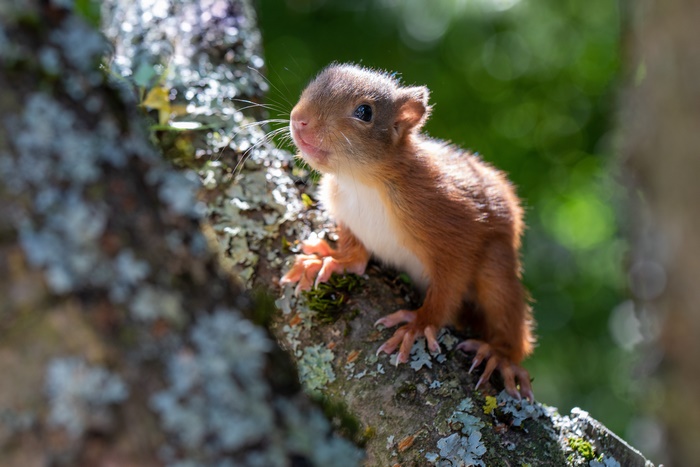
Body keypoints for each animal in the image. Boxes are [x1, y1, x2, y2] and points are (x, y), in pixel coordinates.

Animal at [280, 63, 535, 401]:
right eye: (313, 85)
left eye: (365, 112)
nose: (300, 119)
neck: (362, 182)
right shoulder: (345, 213)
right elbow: (355, 254)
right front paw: (331, 260)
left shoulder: (454, 222)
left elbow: (450, 282)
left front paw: (419, 323)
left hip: (496, 264)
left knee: (506, 310)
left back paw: (501, 355)